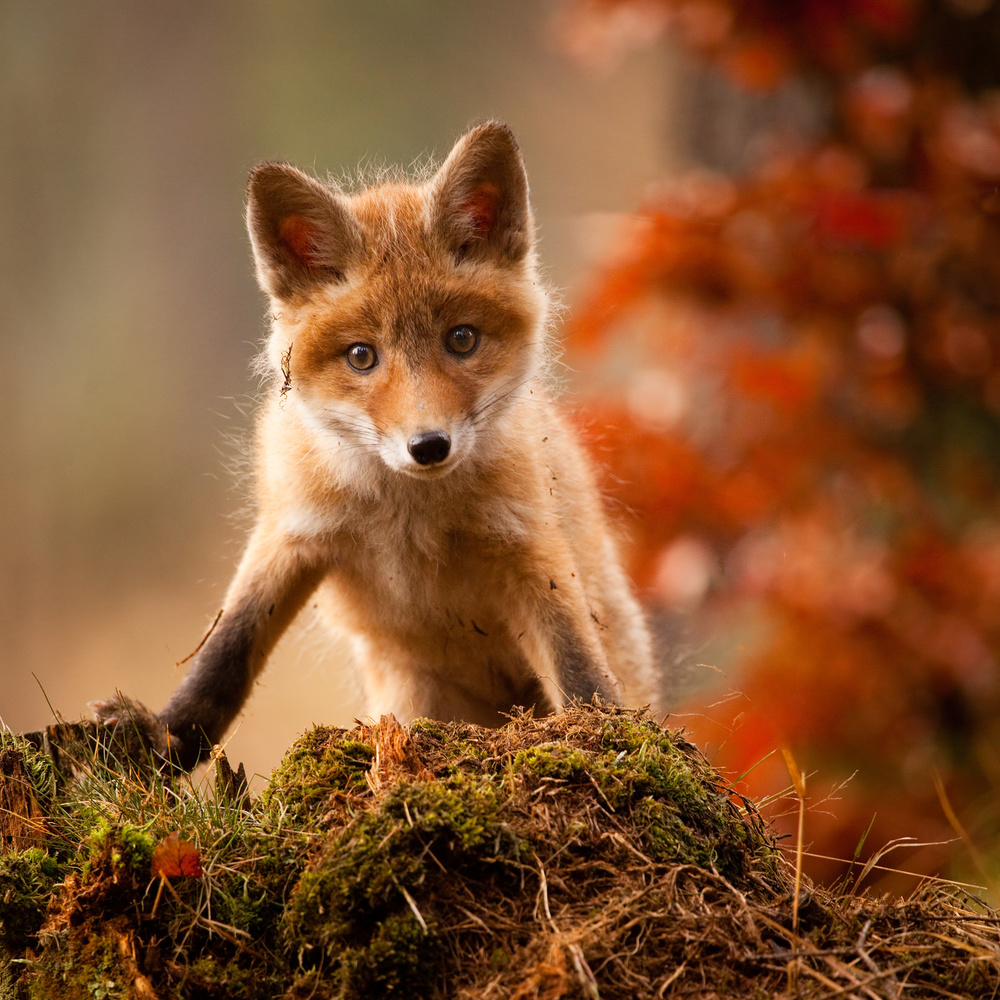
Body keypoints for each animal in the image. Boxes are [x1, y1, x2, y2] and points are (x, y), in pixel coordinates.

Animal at [95, 121, 660, 771]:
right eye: (362, 356)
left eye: (461, 340)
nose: (429, 446)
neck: (406, 517)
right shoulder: (292, 532)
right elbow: (226, 653)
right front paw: (165, 742)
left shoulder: (528, 544)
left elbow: (578, 666)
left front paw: (609, 740)